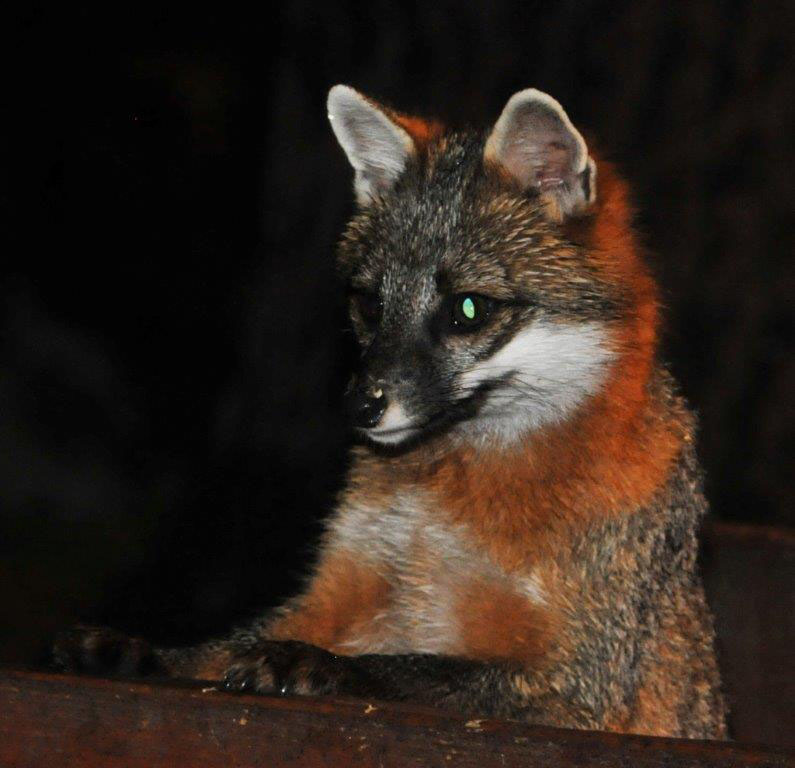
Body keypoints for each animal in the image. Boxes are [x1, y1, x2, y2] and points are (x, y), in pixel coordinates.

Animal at [55, 85, 728, 739]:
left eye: (467, 310)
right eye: (370, 305)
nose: (358, 405)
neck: (446, 506)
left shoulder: (580, 684)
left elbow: (405, 668)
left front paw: (311, 664)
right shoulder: (339, 593)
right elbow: (221, 647)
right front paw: (146, 652)